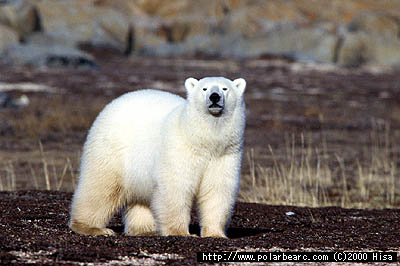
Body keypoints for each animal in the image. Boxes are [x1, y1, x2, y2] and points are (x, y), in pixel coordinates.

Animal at [69, 76, 245, 238]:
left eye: (224, 88)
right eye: (204, 88)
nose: (214, 96)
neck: (204, 141)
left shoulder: (225, 154)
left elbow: (218, 190)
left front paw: (215, 234)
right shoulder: (179, 148)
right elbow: (176, 187)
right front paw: (181, 233)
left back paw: (145, 229)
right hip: (112, 149)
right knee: (101, 187)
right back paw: (93, 228)